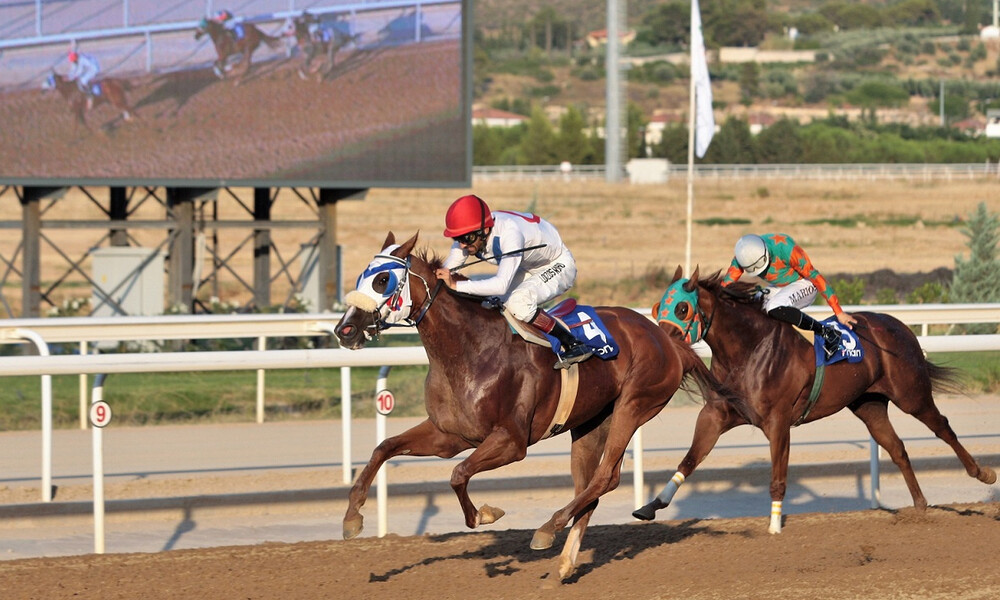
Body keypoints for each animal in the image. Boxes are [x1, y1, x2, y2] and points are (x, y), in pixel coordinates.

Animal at [336, 232, 744, 580]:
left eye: (382, 279)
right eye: (362, 276)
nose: (345, 330)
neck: (469, 350)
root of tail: (666, 336)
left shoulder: (511, 441)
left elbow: (458, 474)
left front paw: (485, 514)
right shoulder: (448, 435)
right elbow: (384, 448)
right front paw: (352, 518)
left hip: (634, 405)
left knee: (606, 477)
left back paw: (548, 528)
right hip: (591, 424)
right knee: (589, 489)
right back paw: (564, 563)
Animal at [632, 270, 992, 532]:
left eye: (682, 307)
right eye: (657, 308)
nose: (661, 344)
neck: (749, 349)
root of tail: (899, 325)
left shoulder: (778, 422)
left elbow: (778, 478)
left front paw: (775, 526)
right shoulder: (717, 414)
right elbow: (689, 460)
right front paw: (651, 505)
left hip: (911, 393)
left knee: (943, 428)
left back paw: (983, 473)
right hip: (869, 404)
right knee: (896, 447)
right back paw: (919, 505)